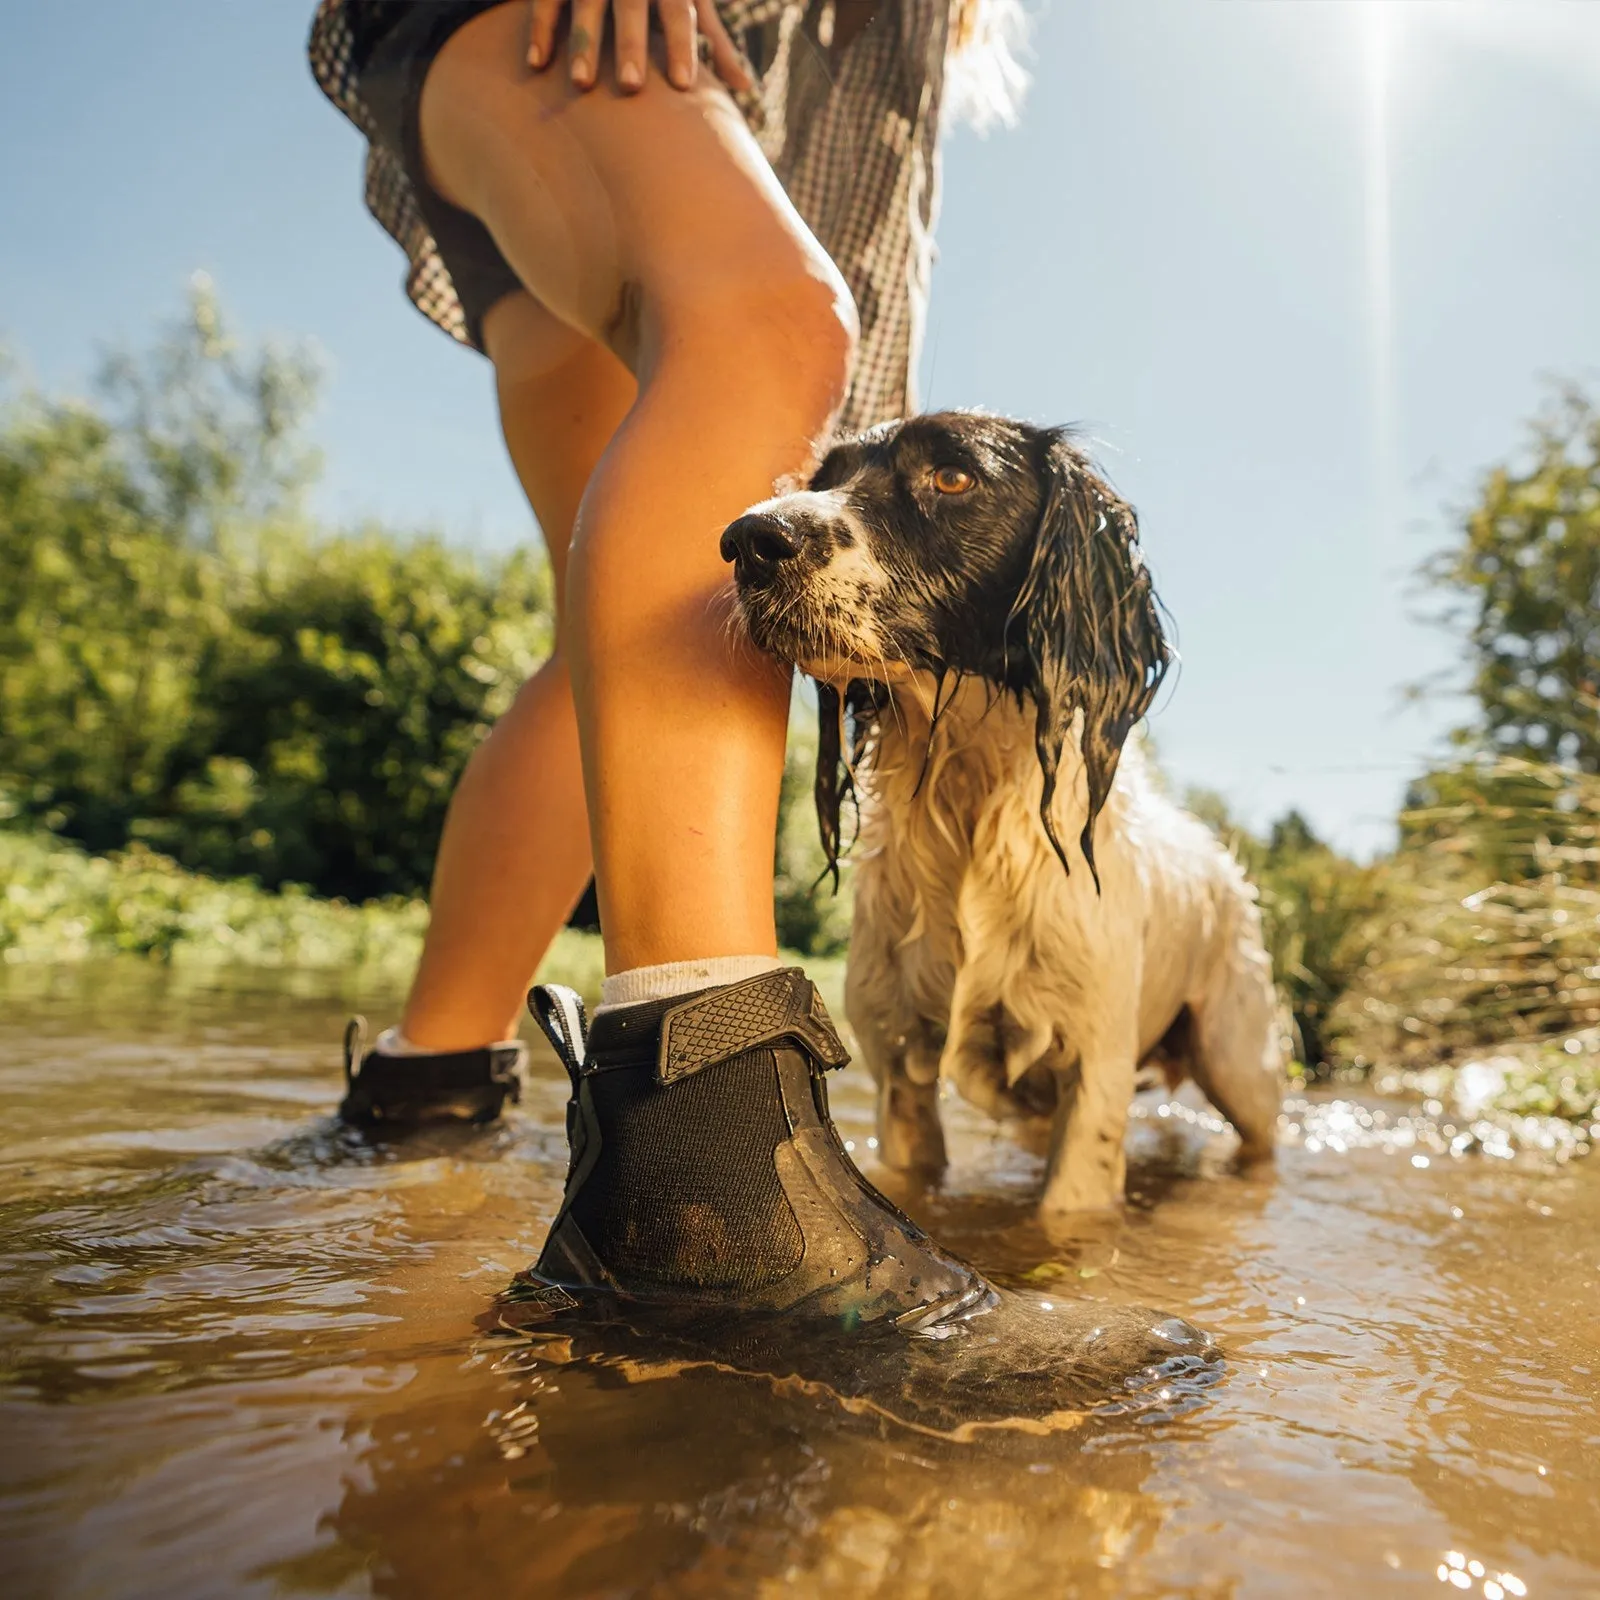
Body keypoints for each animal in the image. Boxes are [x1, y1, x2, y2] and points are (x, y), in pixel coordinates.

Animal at [726, 409, 1286, 1222]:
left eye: (953, 476)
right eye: (825, 477)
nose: (747, 540)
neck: (970, 794)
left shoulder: (1093, 1075)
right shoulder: (900, 1067)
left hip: (1240, 1064)